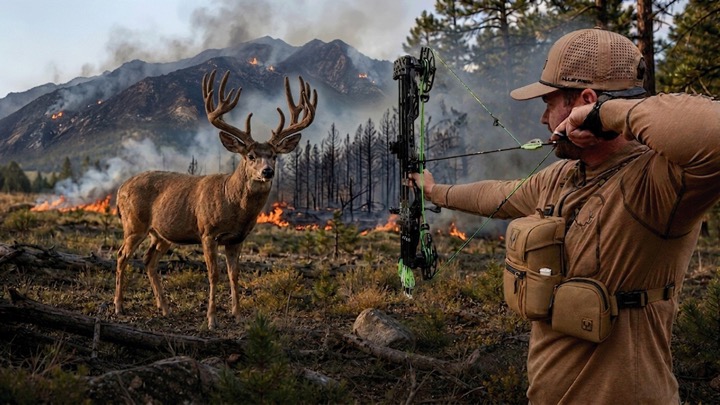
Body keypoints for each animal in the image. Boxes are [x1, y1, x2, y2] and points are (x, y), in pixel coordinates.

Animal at [114, 69, 317, 329]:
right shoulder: (207, 232)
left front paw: (238, 314)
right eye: (250, 155)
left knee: (149, 260)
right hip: (134, 224)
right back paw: (119, 306)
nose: (267, 172)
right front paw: (211, 319)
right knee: (121, 256)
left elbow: (234, 274)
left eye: (274, 156)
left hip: (162, 233)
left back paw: (165, 308)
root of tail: (121, 187)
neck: (233, 204)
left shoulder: (237, 239)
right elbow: (214, 274)